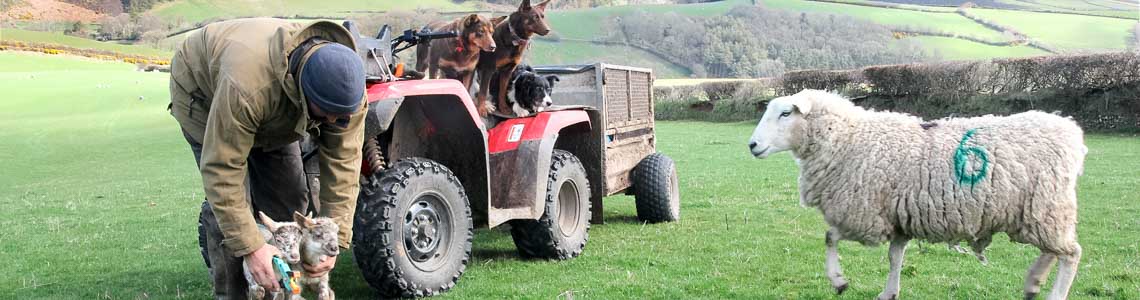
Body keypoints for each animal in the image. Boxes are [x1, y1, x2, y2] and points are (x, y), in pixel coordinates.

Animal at [747, 90, 1085, 300]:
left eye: (786, 113)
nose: (752, 145)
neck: (847, 137)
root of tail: (1070, 131)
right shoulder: (897, 216)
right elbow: (895, 257)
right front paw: (889, 292)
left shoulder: (864, 215)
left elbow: (830, 237)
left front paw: (839, 281)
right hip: (1038, 211)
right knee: (1053, 250)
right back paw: (1033, 283)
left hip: (1046, 206)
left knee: (1070, 253)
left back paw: (1052, 292)